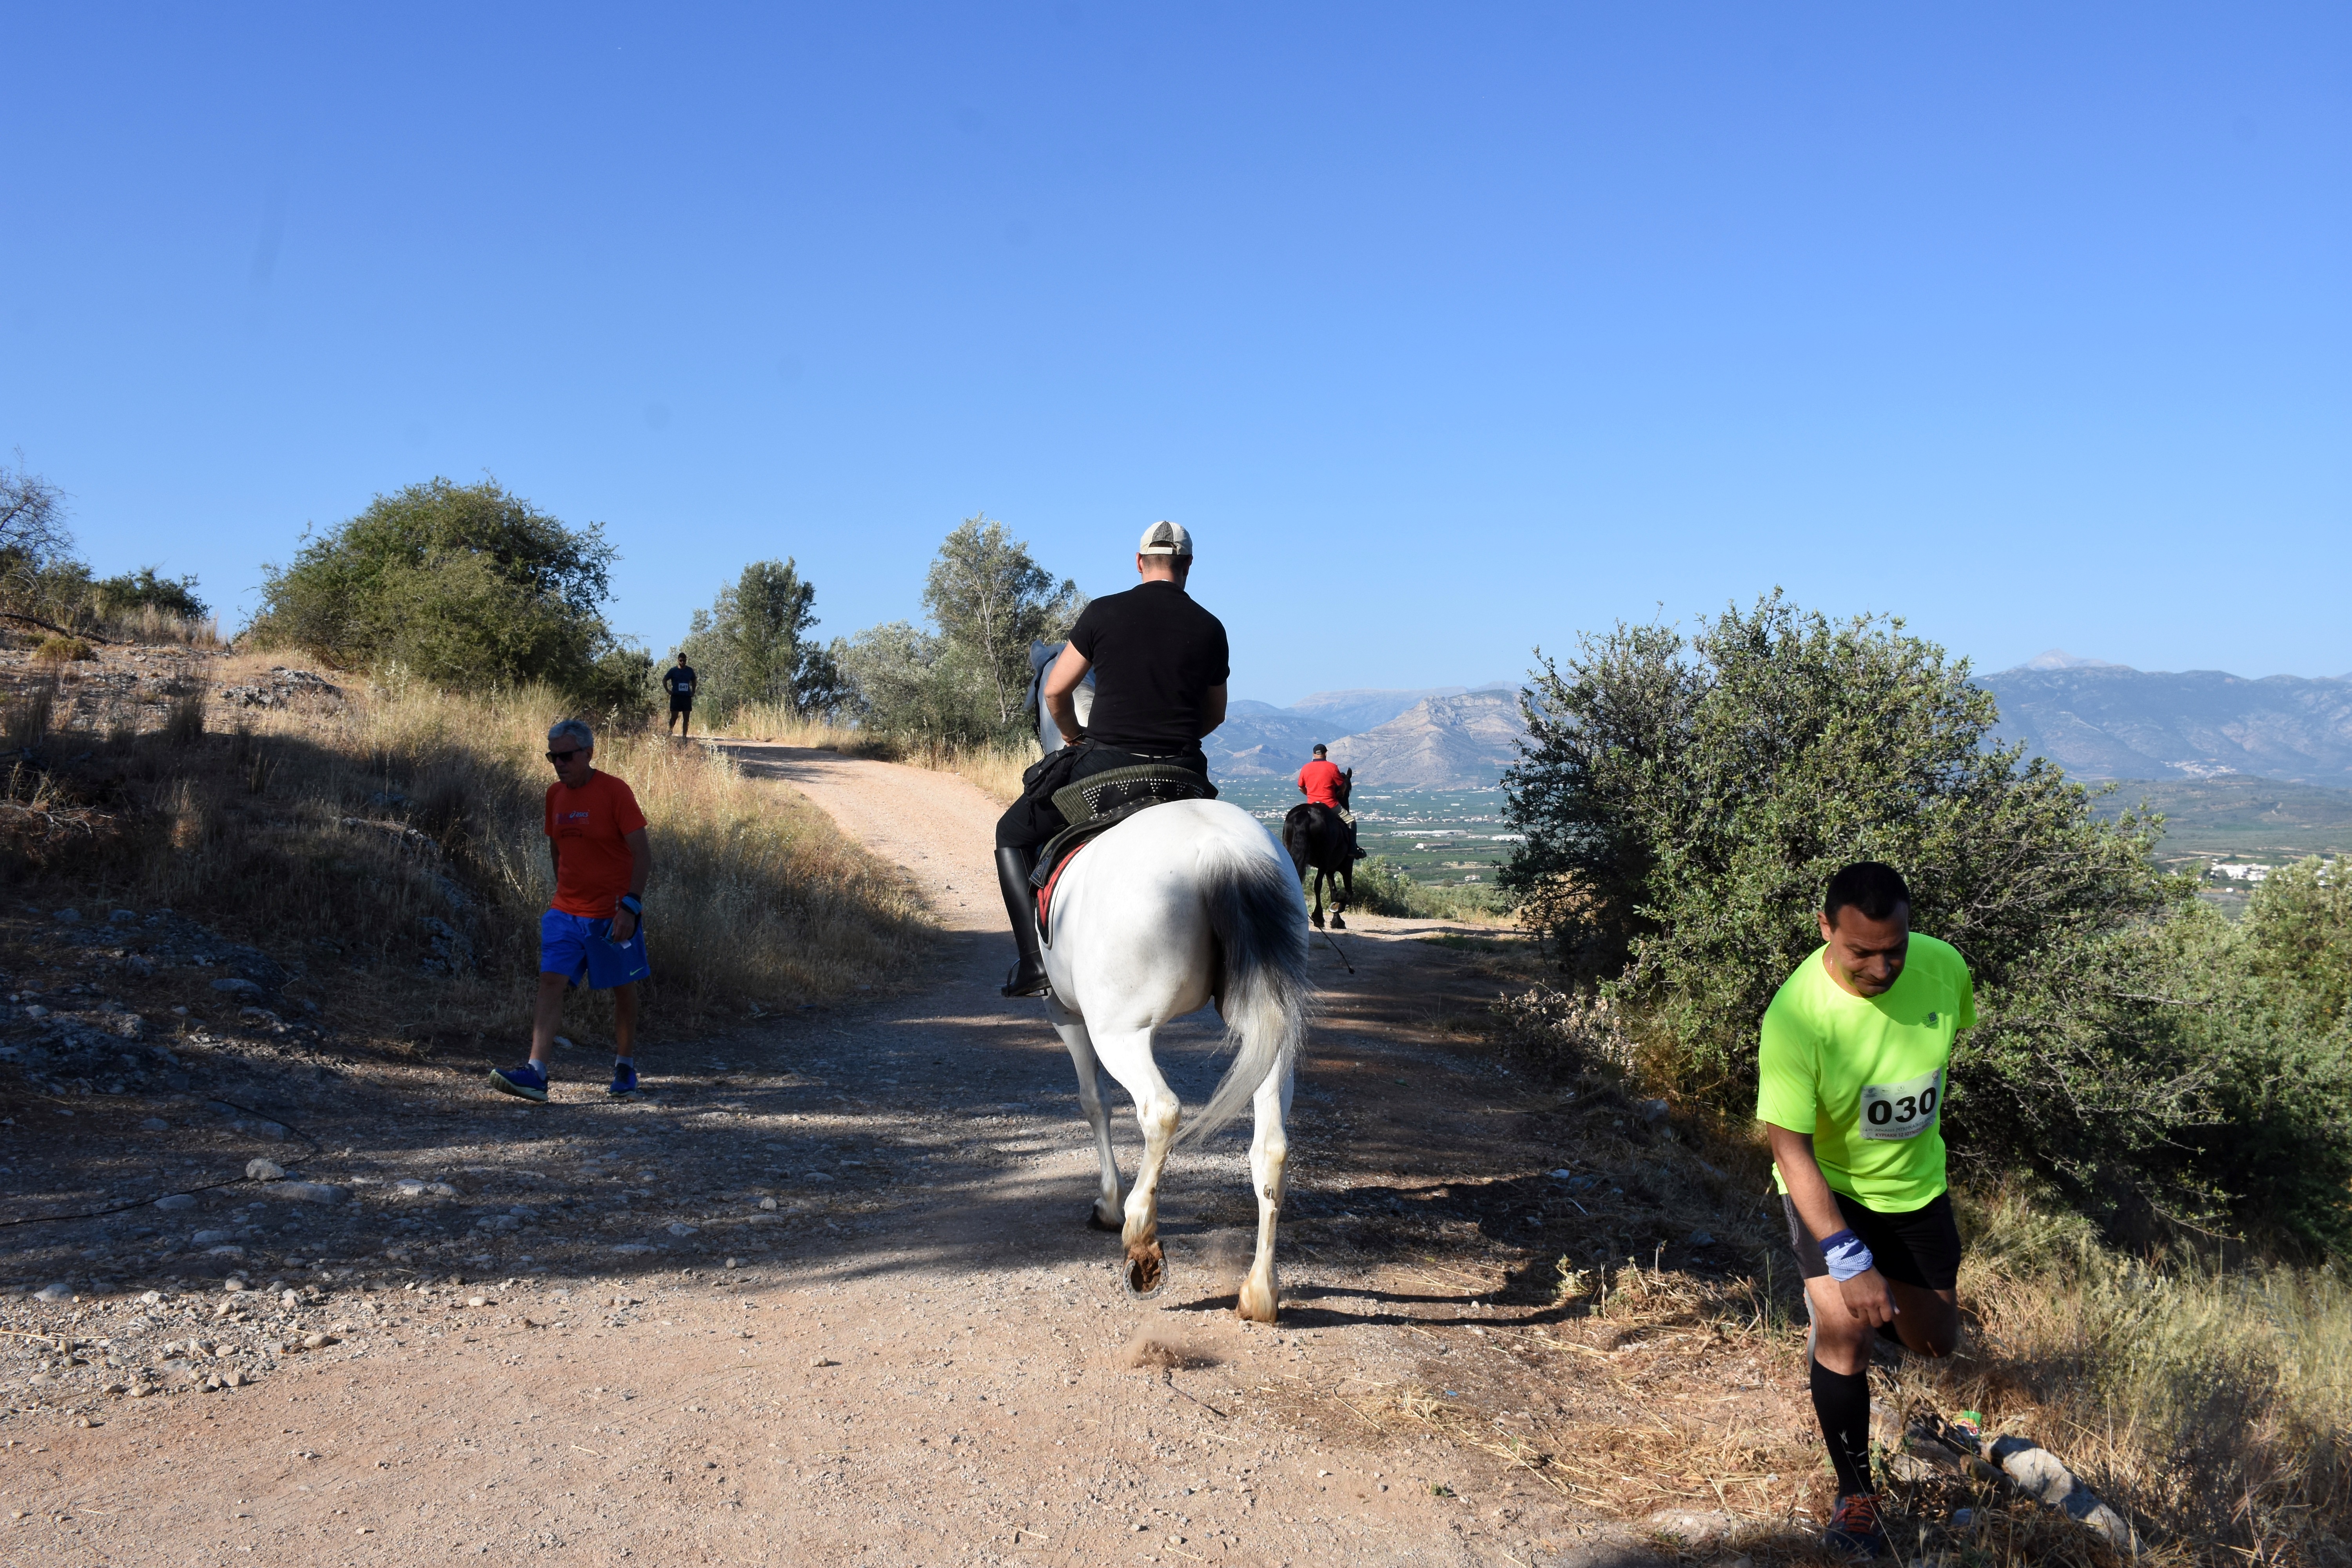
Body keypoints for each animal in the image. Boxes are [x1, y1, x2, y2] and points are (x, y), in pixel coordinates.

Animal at [1025, 649, 1327, 1326]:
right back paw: (1260, 1293)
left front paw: (1108, 1203)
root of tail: (1220, 849)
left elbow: (1092, 1101)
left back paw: (1141, 1239)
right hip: (1269, 1032)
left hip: (1121, 1031)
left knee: (1160, 1111)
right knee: (1272, 1147)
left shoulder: (1068, 1015)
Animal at [1289, 771, 1364, 931]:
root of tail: (1306, 813)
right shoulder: (1346, 867)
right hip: (1324, 860)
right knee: (1318, 884)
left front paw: (1337, 921)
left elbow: (1334, 893)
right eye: (1349, 789)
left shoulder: (1330, 870)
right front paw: (1337, 908)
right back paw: (1318, 918)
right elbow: (1348, 893)